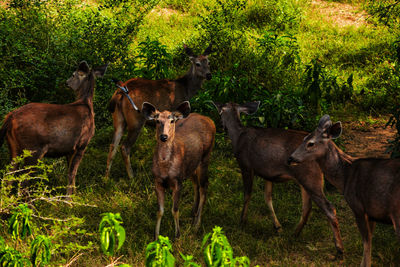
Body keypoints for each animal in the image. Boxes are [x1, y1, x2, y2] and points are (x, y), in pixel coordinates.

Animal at [0, 61, 108, 195]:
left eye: (73, 75)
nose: (66, 82)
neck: (86, 104)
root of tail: (10, 117)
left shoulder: (71, 149)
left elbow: (70, 175)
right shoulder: (82, 145)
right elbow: (72, 174)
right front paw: (69, 199)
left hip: (14, 146)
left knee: (9, 176)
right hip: (33, 148)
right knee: (23, 181)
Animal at [105, 43, 212, 180]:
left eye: (208, 62)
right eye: (197, 63)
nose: (209, 75)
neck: (186, 89)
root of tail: (120, 93)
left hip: (118, 118)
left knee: (113, 144)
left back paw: (106, 177)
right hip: (136, 120)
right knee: (125, 147)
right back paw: (131, 176)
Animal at [141, 101, 216, 240]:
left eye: (172, 121)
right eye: (157, 121)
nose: (164, 136)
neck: (165, 168)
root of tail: (210, 120)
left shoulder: (178, 181)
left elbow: (175, 209)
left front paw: (177, 235)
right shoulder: (157, 181)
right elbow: (160, 211)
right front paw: (156, 236)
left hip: (205, 157)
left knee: (204, 186)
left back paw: (196, 224)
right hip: (191, 166)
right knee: (196, 184)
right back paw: (193, 211)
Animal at [212, 102, 344, 255]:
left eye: (220, 112)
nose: (221, 125)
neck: (237, 136)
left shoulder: (245, 165)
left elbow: (247, 195)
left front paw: (242, 222)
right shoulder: (268, 174)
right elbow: (267, 198)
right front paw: (277, 227)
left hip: (310, 178)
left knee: (329, 207)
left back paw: (339, 248)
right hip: (305, 179)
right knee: (307, 207)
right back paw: (294, 234)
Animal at [290, 115, 400, 267]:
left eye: (311, 143)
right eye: (303, 138)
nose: (291, 158)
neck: (345, 176)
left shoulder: (358, 207)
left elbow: (366, 241)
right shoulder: (372, 212)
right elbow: (370, 240)